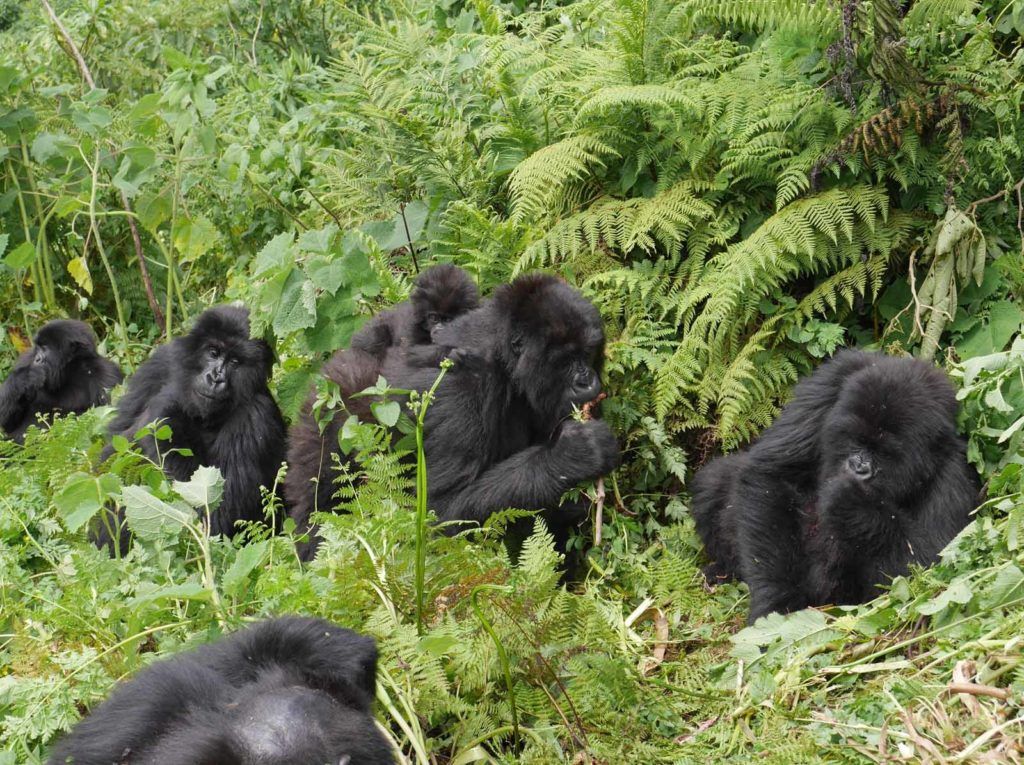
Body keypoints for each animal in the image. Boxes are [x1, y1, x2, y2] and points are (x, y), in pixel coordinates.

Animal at [286, 272, 614, 561]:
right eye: (565, 361)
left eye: (587, 353)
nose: (587, 381)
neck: (506, 362)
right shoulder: (463, 388)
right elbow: (441, 514)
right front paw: (572, 454)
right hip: (329, 412)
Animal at [692, 350, 978, 626]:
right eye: (855, 439)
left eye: (884, 454)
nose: (858, 467)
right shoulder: (830, 381)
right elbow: (772, 475)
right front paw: (776, 603)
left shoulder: (955, 473)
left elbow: (925, 567)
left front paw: (854, 503)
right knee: (716, 479)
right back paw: (723, 569)